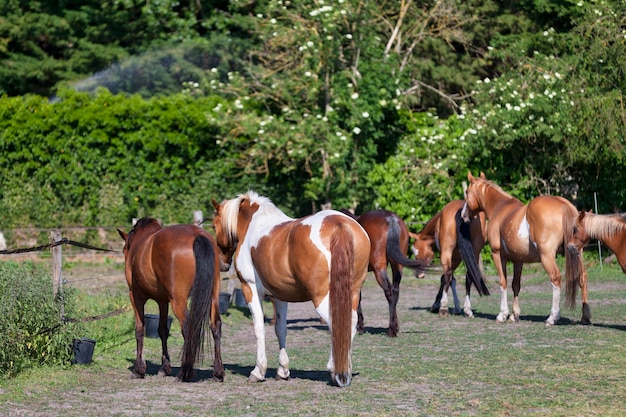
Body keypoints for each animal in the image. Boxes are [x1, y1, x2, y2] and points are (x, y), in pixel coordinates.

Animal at [117, 219, 224, 382]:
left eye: (124, 250)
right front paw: (164, 368)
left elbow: (139, 329)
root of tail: (198, 235)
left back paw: (184, 373)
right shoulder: (162, 301)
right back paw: (218, 373)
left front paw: (139, 370)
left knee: (188, 328)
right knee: (215, 326)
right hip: (213, 297)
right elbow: (162, 331)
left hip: (178, 302)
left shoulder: (136, 297)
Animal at [212, 192, 370, 386]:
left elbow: (259, 329)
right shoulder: (280, 295)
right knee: (351, 323)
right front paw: (283, 371)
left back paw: (336, 370)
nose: (222, 264)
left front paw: (258, 371)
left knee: (337, 324)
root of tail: (340, 225)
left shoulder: (250, 289)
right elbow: (281, 329)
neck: (253, 223)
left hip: (323, 298)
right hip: (352, 294)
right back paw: (344, 370)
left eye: (214, 226)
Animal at [458, 171, 584, 324]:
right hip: (577, 253)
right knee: (583, 278)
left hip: (547, 257)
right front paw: (514, 315)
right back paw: (586, 316)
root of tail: (564, 205)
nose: (463, 215)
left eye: (467, 192)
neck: (499, 208)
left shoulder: (498, 255)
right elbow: (515, 285)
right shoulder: (518, 260)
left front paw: (503, 314)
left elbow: (503, 282)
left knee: (556, 279)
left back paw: (552, 317)